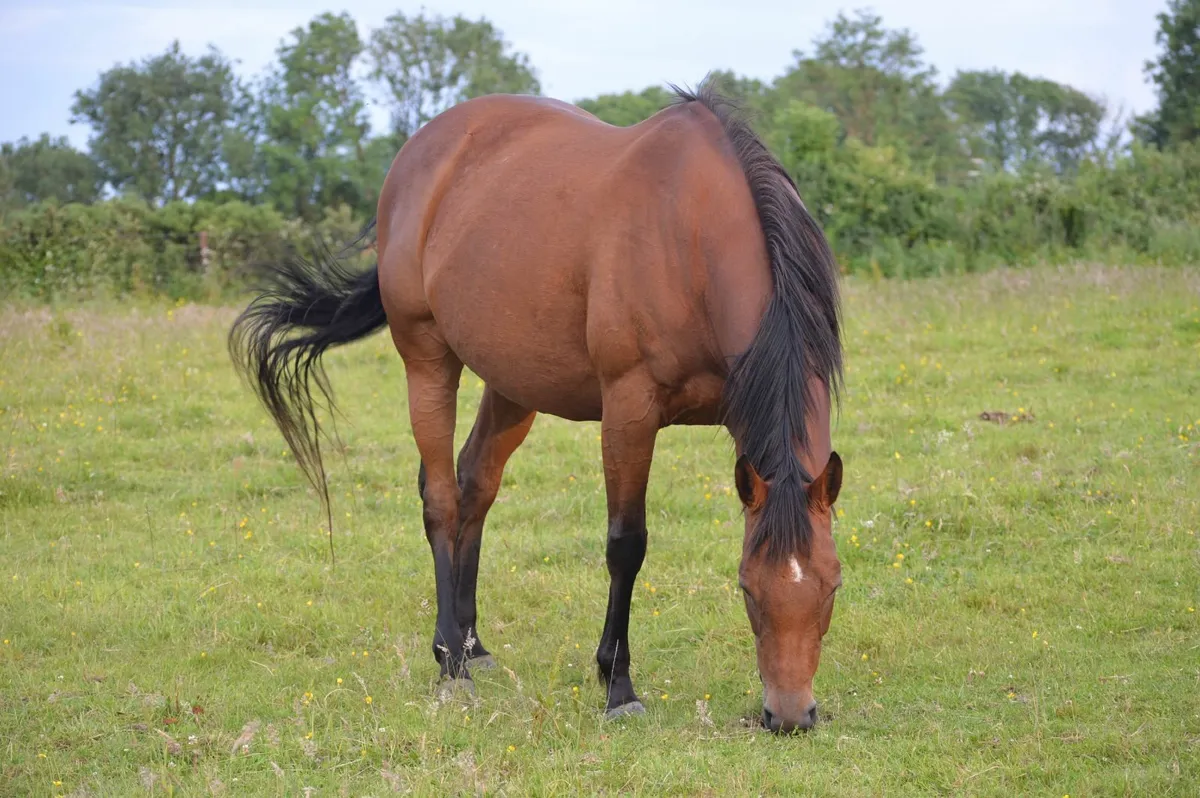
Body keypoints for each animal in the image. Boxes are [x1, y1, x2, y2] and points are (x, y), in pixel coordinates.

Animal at [228, 79, 845, 734]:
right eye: (747, 588)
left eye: (833, 586)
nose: (790, 715)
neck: (692, 238)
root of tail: (421, 153)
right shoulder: (629, 409)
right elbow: (626, 544)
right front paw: (618, 685)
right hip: (427, 358)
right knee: (441, 498)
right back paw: (451, 664)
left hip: (511, 382)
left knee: (475, 485)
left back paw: (470, 643)